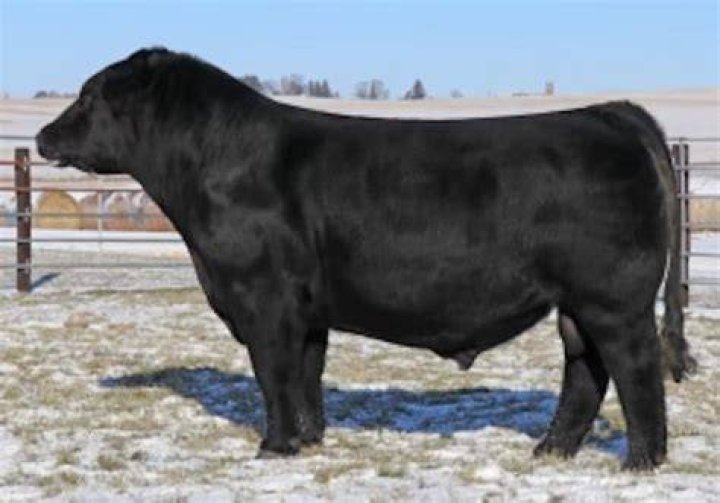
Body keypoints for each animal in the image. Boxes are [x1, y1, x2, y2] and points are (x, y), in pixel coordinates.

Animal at [36, 48, 696, 470]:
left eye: (89, 95)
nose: (42, 136)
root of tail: (610, 111)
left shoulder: (263, 298)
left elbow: (274, 375)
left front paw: (272, 448)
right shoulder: (307, 310)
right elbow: (305, 376)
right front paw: (307, 441)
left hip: (613, 300)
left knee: (634, 372)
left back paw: (640, 463)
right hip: (577, 304)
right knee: (586, 372)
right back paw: (550, 451)